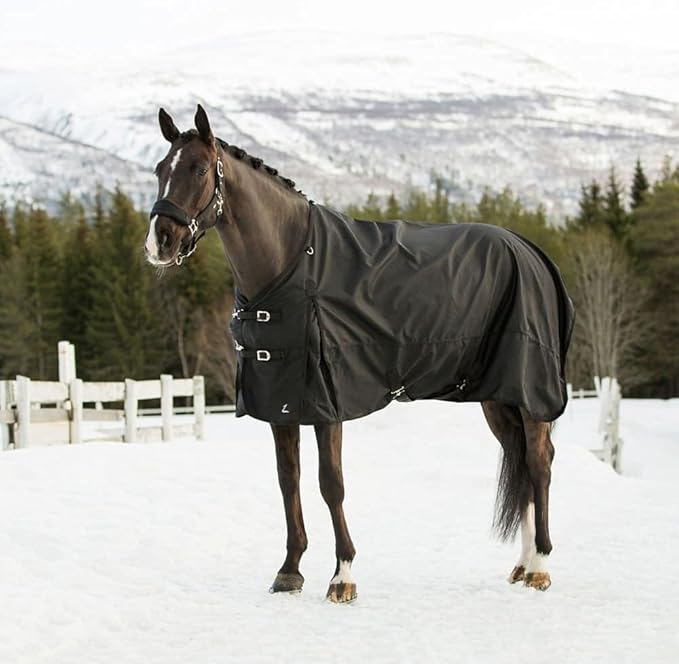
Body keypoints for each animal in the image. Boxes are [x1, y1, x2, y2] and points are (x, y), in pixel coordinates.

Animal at [144, 104, 574, 602]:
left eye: (197, 169)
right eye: (160, 170)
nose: (159, 241)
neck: (292, 262)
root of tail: (531, 251)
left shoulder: (327, 401)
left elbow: (331, 483)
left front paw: (342, 576)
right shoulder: (280, 403)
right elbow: (288, 481)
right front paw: (289, 571)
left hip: (529, 391)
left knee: (539, 463)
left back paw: (541, 567)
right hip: (499, 395)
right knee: (520, 460)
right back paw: (522, 565)